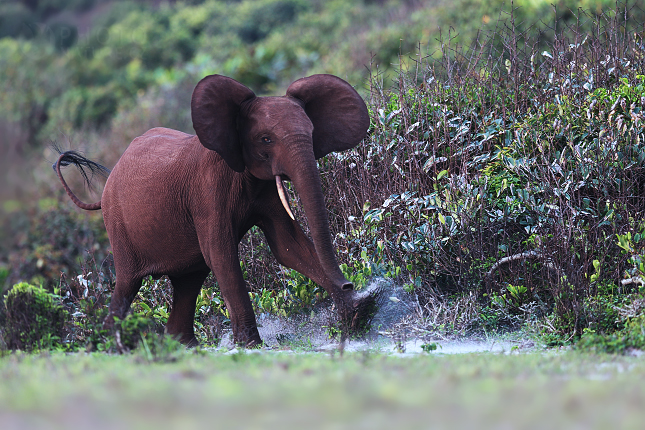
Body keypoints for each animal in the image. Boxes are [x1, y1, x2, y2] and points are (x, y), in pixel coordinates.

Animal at [56, 74, 378, 348]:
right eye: (266, 139)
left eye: (312, 134)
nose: (351, 284)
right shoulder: (208, 192)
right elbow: (221, 254)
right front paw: (250, 346)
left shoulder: (264, 189)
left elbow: (288, 247)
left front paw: (357, 314)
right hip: (118, 225)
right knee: (127, 285)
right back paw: (114, 346)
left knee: (188, 282)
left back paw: (183, 345)